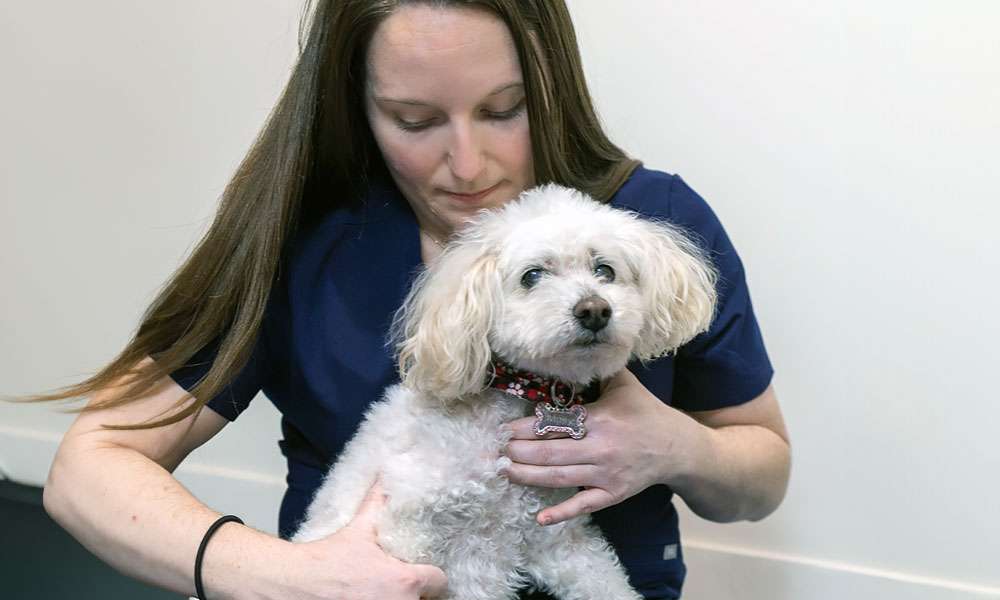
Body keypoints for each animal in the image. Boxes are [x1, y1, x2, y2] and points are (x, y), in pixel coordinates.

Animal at [290, 185, 720, 596]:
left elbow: (607, 583)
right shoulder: (409, 529)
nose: (595, 310)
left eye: (604, 270)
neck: (521, 396)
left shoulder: (558, 539)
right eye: (532, 276)